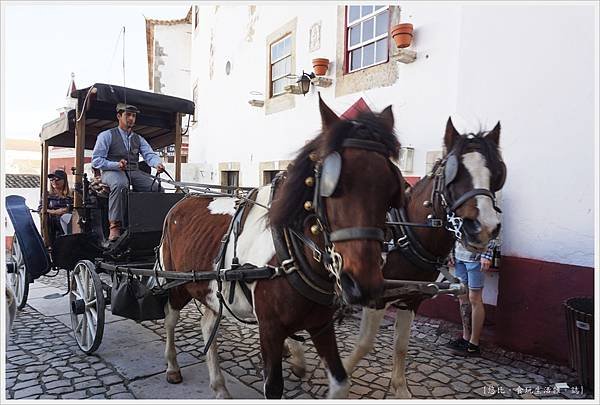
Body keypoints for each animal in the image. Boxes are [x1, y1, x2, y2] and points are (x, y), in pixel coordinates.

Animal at [157, 97, 406, 398]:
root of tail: (183, 199)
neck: (293, 254)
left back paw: (219, 385)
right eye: (332, 184)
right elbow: (273, 386)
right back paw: (172, 366)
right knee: (170, 318)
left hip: (209, 291)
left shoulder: (321, 324)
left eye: (392, 188)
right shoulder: (270, 328)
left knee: (207, 324)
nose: (363, 285)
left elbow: (340, 381)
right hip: (177, 283)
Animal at [342, 117, 506, 398]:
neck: (403, 233)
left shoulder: (411, 298)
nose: (484, 228)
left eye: (496, 174)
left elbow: (401, 345)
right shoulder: (375, 298)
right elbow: (364, 344)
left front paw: (400, 389)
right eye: (452, 173)